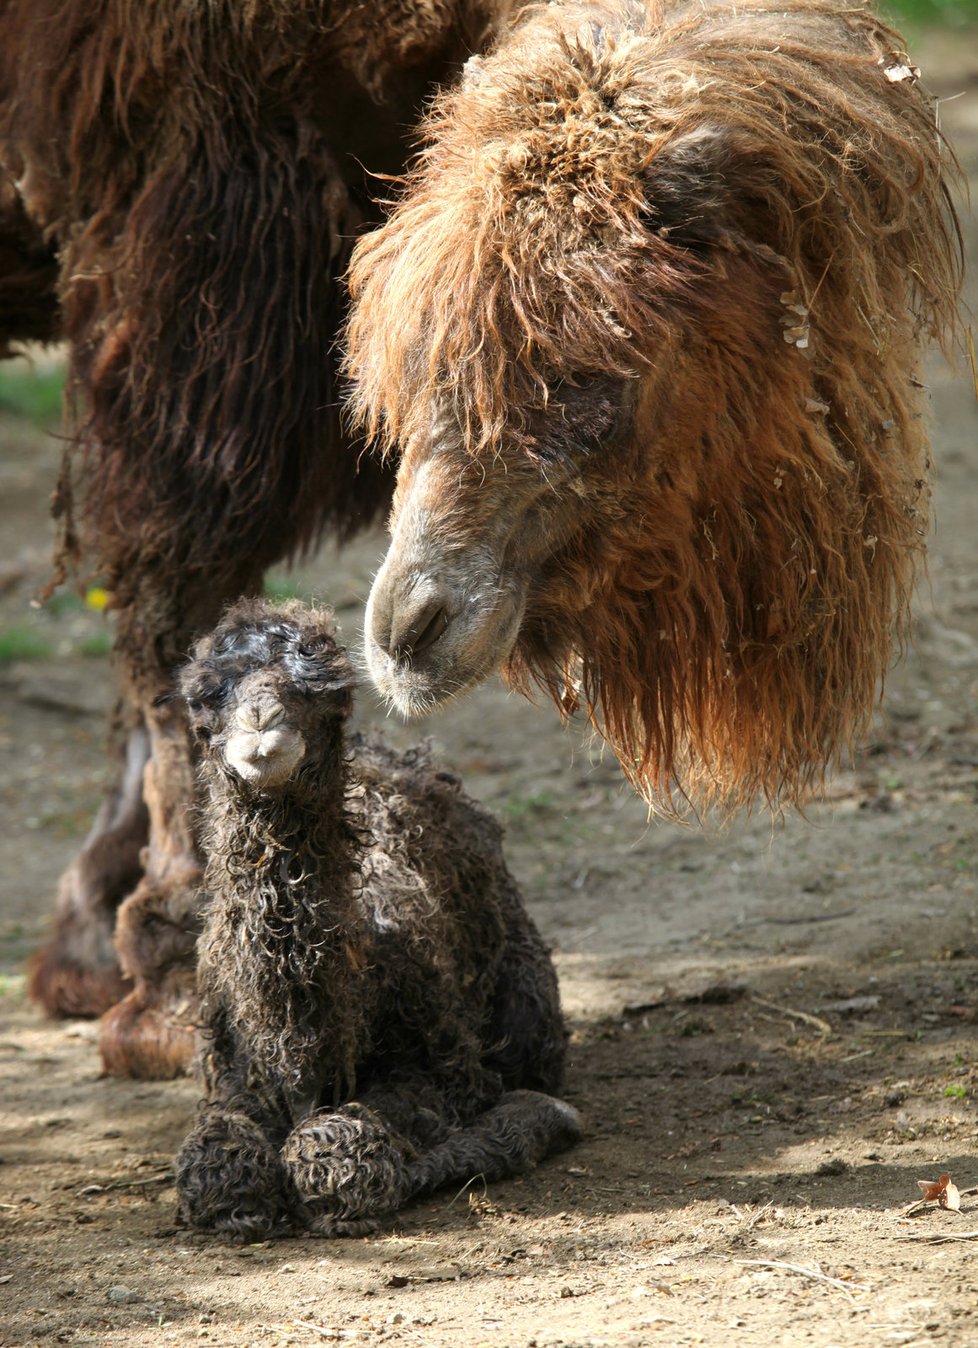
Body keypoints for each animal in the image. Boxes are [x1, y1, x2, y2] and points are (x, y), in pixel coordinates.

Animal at [173, 603, 581, 1240]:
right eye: (205, 697)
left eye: (326, 694)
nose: (261, 722)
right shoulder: (232, 1069)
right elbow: (216, 1164)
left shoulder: (445, 1070)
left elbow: (341, 1159)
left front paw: (534, 1121)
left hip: (528, 1009)